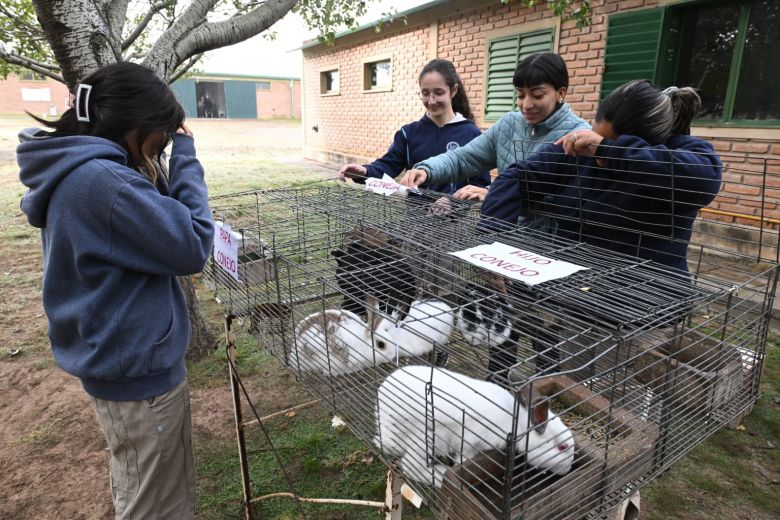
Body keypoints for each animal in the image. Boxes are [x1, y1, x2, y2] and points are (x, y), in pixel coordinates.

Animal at [374, 366, 576, 488]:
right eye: (562, 447)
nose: (567, 470)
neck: (516, 423)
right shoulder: (470, 443)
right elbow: (463, 461)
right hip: (424, 438)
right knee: (411, 466)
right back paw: (440, 475)